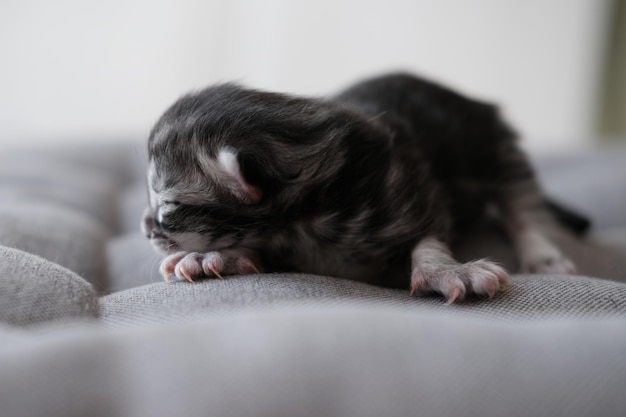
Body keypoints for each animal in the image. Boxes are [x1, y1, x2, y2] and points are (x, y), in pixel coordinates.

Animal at [141, 73, 576, 302]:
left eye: (168, 205)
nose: (146, 229)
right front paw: (213, 256)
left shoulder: (414, 196)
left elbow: (428, 241)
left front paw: (448, 271)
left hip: (491, 142)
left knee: (522, 200)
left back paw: (543, 254)